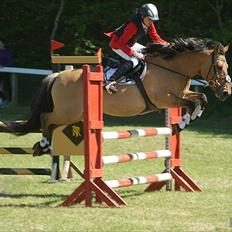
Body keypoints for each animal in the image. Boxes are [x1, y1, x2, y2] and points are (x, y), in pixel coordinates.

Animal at [5, 37, 230, 156]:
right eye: (219, 67)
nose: (226, 92)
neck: (171, 68)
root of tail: (58, 75)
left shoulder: (181, 94)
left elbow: (201, 99)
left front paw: (181, 124)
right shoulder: (164, 99)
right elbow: (193, 103)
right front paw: (180, 124)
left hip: (70, 114)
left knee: (51, 123)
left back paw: (43, 146)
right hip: (66, 112)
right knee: (46, 118)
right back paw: (43, 145)